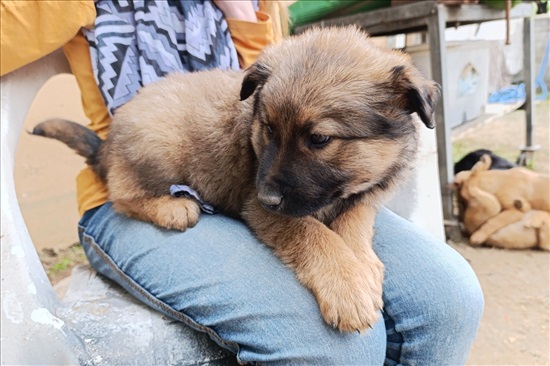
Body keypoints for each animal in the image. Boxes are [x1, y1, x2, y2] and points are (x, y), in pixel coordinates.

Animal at [33, 27, 440, 334]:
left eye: (319, 139)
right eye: (268, 128)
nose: (268, 198)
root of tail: (109, 142)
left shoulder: (370, 188)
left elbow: (356, 215)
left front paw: (361, 264)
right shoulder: (259, 205)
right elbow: (313, 233)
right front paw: (347, 285)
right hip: (161, 143)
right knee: (121, 194)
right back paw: (172, 207)